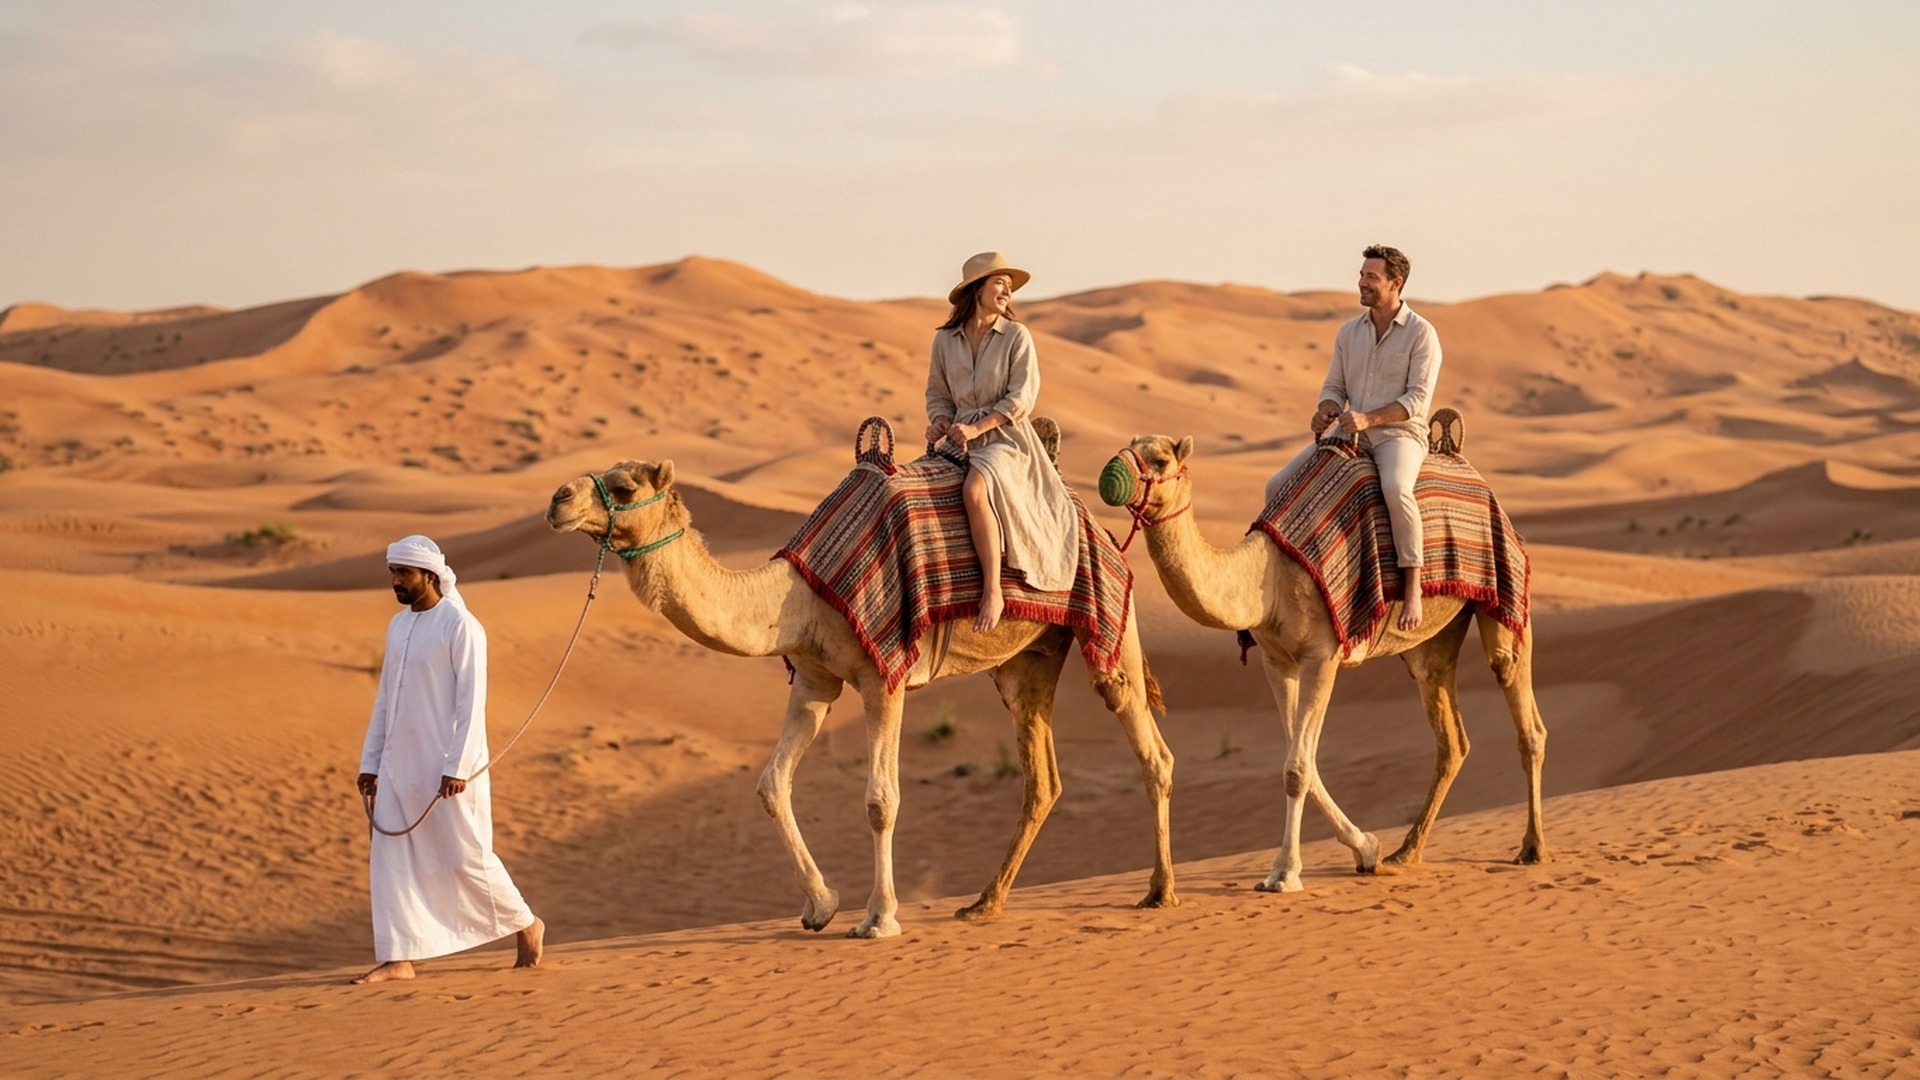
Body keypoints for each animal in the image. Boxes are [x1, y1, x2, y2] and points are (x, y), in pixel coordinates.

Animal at [546, 456, 1177, 938]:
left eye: (625, 487)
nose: (557, 498)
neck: (797, 597)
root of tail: (1099, 526)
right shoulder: (814, 680)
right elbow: (771, 783)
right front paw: (820, 906)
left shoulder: (884, 676)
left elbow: (880, 800)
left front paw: (878, 918)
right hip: (1029, 658)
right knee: (1042, 777)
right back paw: (984, 903)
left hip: (1112, 624)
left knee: (1151, 750)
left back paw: (1160, 891)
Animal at [1103, 433, 1547, 894]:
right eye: (1131, 445)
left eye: (1159, 460)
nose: (1111, 473)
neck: (1268, 577)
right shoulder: (1277, 661)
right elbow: (1301, 761)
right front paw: (1367, 848)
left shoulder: (1322, 656)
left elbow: (1297, 768)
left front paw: (1284, 874)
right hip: (1433, 638)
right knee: (1450, 734)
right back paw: (1406, 851)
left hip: (1504, 594)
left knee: (1521, 706)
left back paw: (1532, 847)